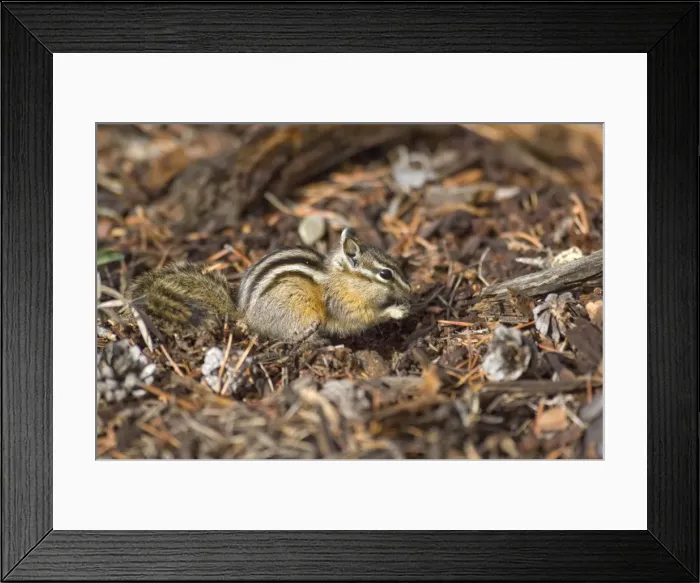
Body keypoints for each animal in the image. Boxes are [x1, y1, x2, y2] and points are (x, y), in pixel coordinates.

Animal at [126, 228, 412, 343]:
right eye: (385, 274)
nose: (410, 289)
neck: (345, 280)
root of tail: (244, 314)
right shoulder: (342, 303)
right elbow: (360, 317)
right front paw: (395, 310)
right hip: (302, 314)